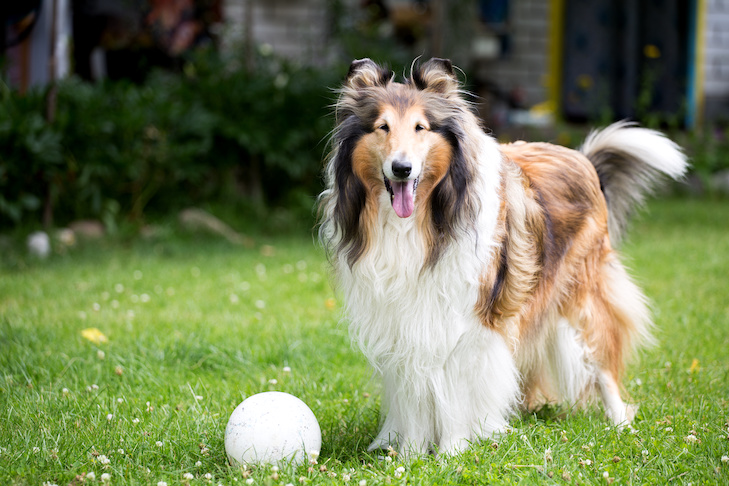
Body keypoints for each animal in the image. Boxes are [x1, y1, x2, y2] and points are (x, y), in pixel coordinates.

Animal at [316, 57, 684, 456]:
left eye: (420, 127)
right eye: (382, 127)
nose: (402, 169)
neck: (422, 222)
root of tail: (583, 159)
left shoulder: (468, 321)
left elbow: (457, 388)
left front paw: (452, 450)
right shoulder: (405, 320)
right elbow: (412, 388)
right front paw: (410, 454)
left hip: (581, 298)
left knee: (603, 359)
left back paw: (619, 422)